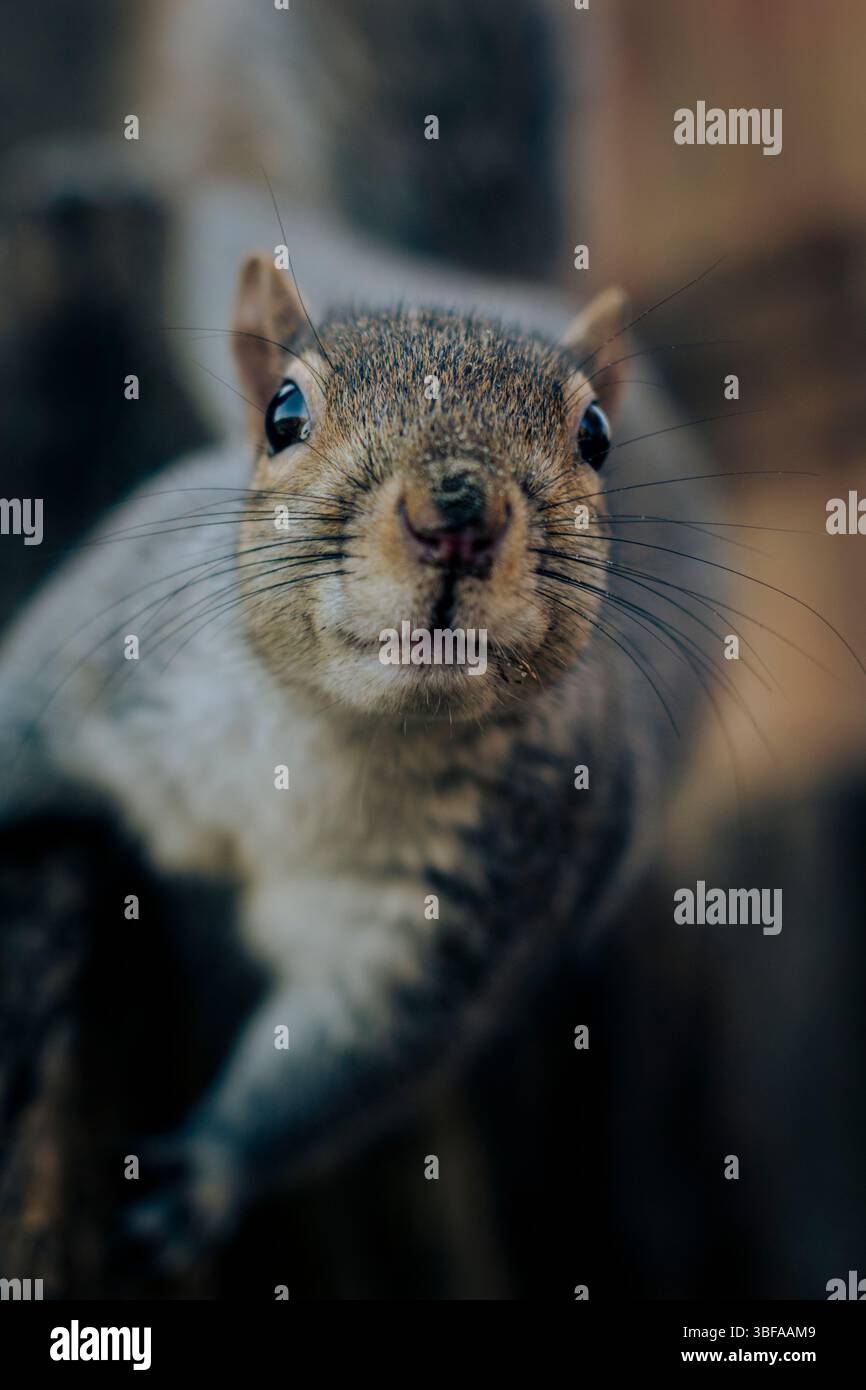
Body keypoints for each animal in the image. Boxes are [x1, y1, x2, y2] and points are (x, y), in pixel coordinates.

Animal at [0, 0, 716, 1274]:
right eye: (282, 413)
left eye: (594, 436)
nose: (455, 514)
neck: (331, 729)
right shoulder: (87, 671)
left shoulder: (451, 920)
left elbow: (338, 1062)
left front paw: (203, 1174)